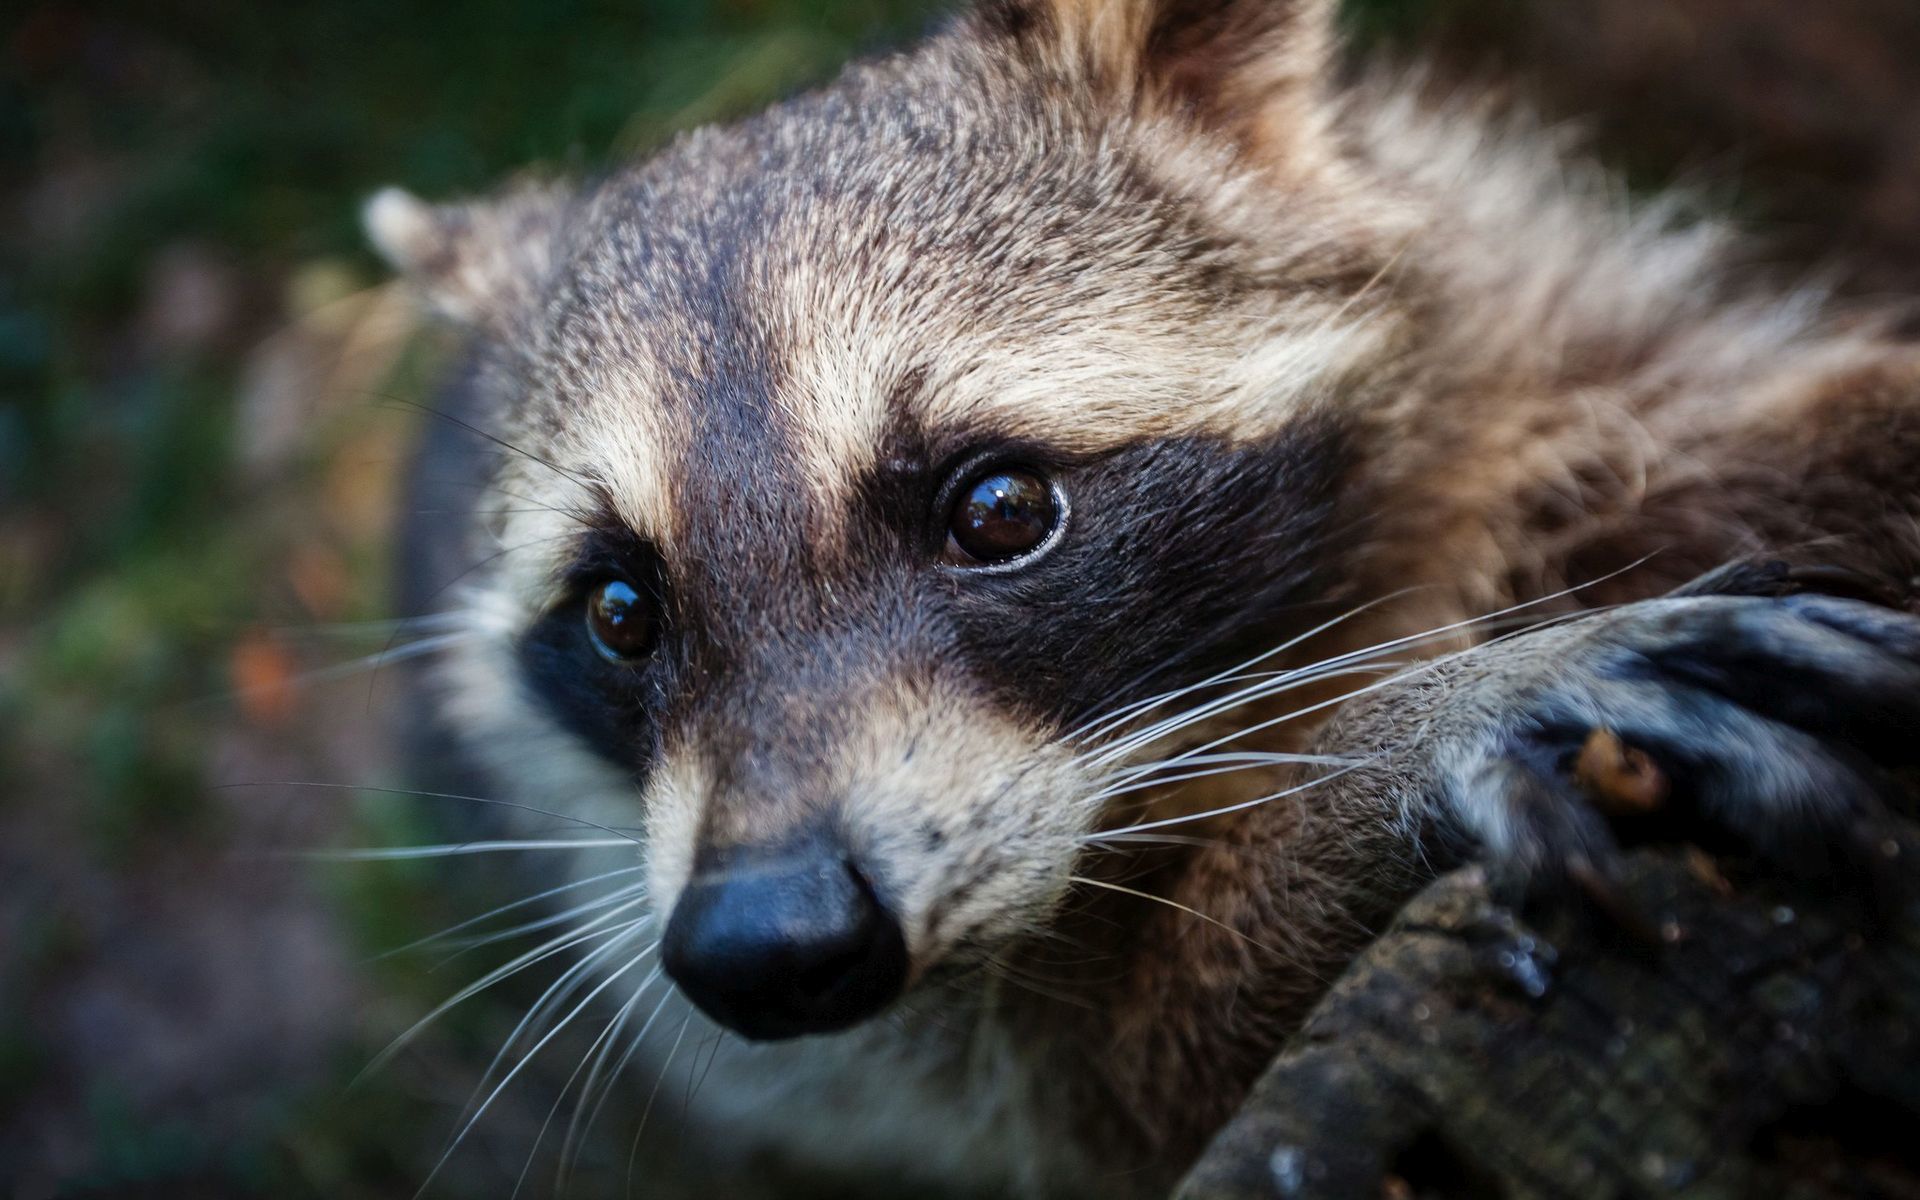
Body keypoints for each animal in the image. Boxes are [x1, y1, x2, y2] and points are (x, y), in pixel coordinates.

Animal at [367, 0, 1920, 1194]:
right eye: (620, 612)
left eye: (999, 511)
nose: (770, 941)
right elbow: (1152, 1072)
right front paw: (1410, 743)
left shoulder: (1566, 354)